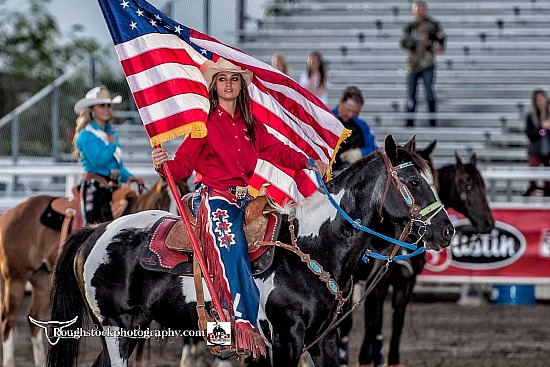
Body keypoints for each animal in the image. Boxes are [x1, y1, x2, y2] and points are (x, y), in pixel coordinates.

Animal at [0, 177, 188, 366]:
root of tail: (11, 213)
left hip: (42, 281)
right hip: (16, 278)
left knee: (33, 318)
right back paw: (9, 361)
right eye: (163, 198)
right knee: (8, 319)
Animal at [47, 136, 454, 367]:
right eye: (413, 181)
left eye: (432, 178)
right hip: (116, 328)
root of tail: (97, 230)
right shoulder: (285, 339)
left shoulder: (323, 340)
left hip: (133, 328)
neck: (309, 249)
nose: (446, 231)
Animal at [342, 141, 498, 367]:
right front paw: (365, 359)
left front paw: (391, 360)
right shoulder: (377, 281)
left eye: (483, 187)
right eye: (468, 187)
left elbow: (396, 320)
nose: (488, 223)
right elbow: (373, 320)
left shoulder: (406, 281)